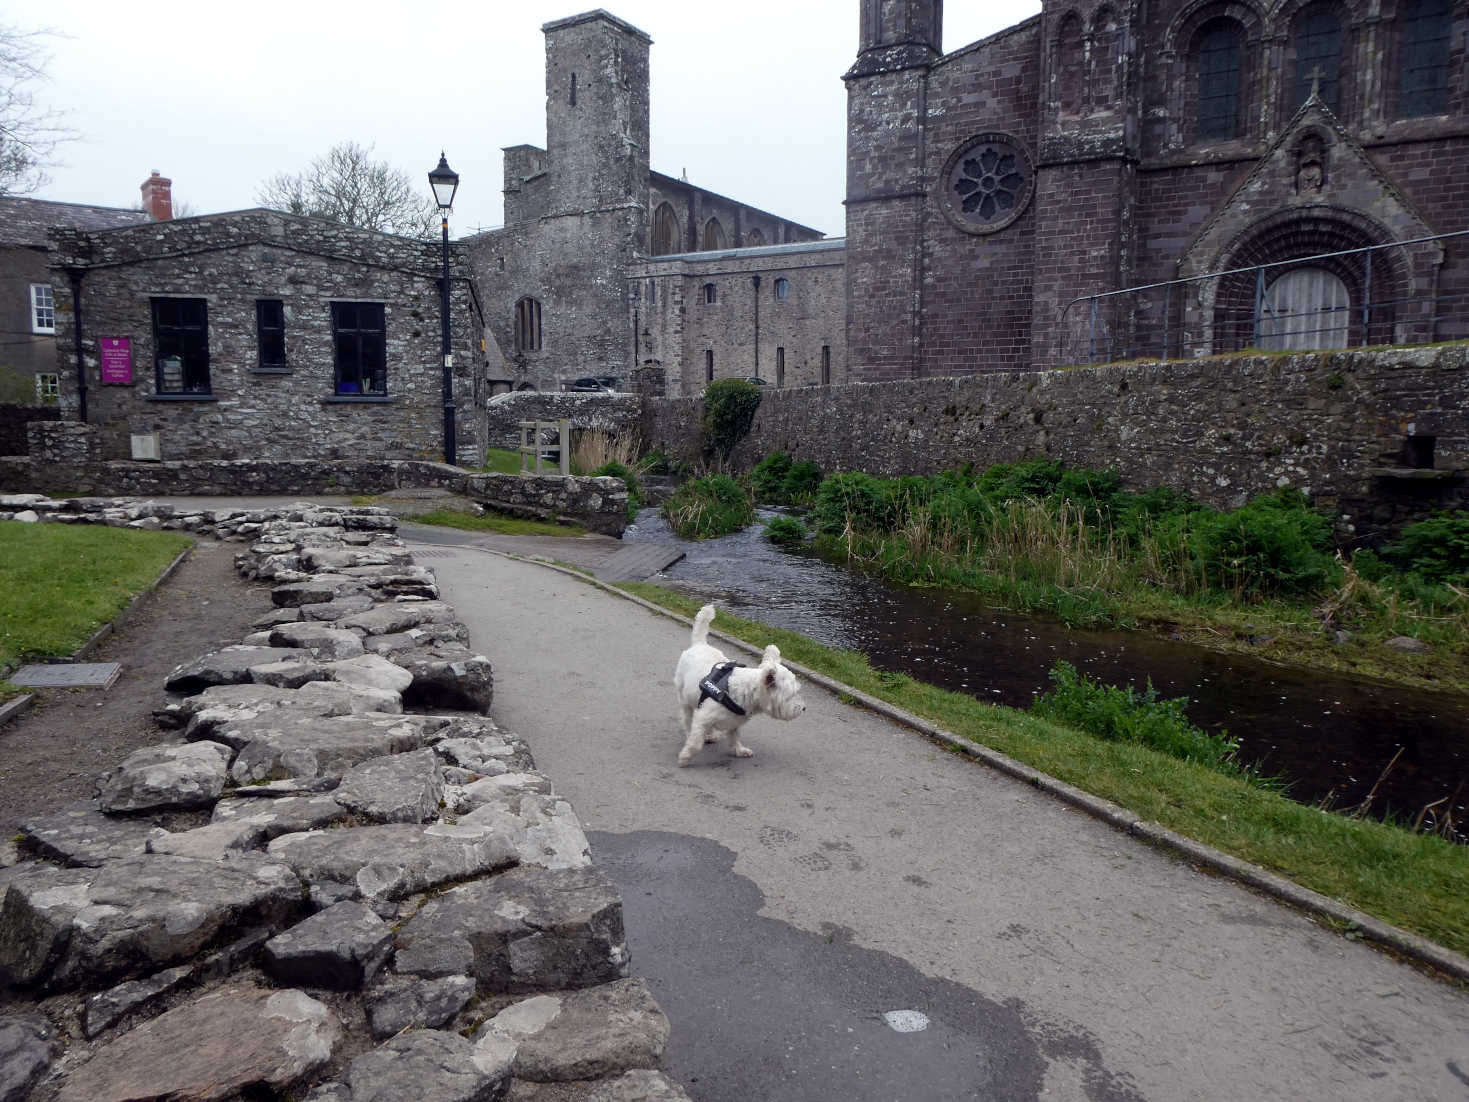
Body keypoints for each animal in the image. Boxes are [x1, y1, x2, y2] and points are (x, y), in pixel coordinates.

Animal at [672, 605, 810, 769]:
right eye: (791, 695)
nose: (804, 708)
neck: (745, 692)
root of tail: (700, 644)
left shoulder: (734, 722)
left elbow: (734, 737)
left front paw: (739, 750)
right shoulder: (702, 718)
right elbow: (695, 743)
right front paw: (685, 757)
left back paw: (711, 735)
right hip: (684, 698)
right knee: (687, 719)